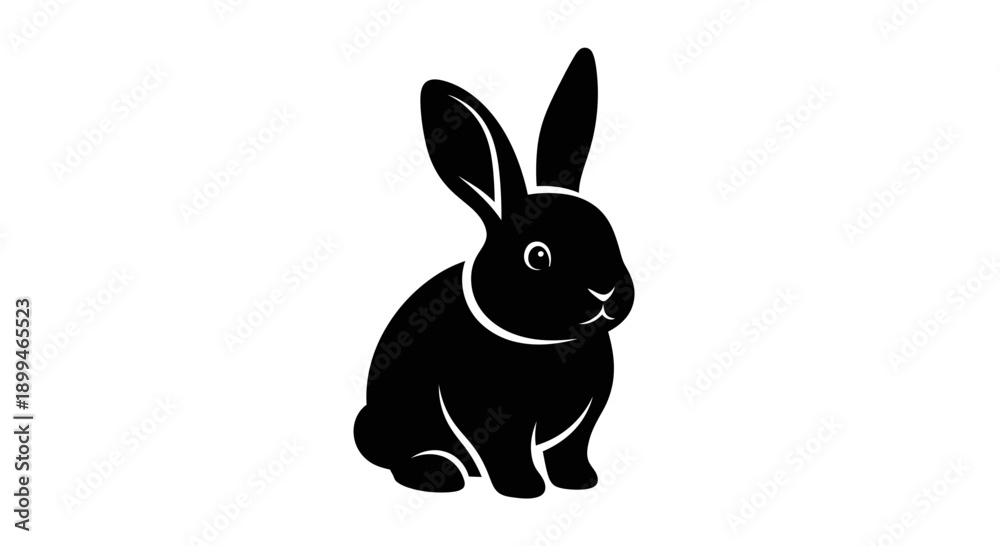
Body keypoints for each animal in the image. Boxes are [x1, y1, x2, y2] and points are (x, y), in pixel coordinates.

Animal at [354, 48, 634, 499]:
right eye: (537, 256)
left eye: (608, 232)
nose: (606, 292)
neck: (553, 344)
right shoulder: (490, 414)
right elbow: (507, 453)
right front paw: (525, 490)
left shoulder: (580, 425)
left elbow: (570, 450)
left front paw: (581, 482)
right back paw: (440, 474)